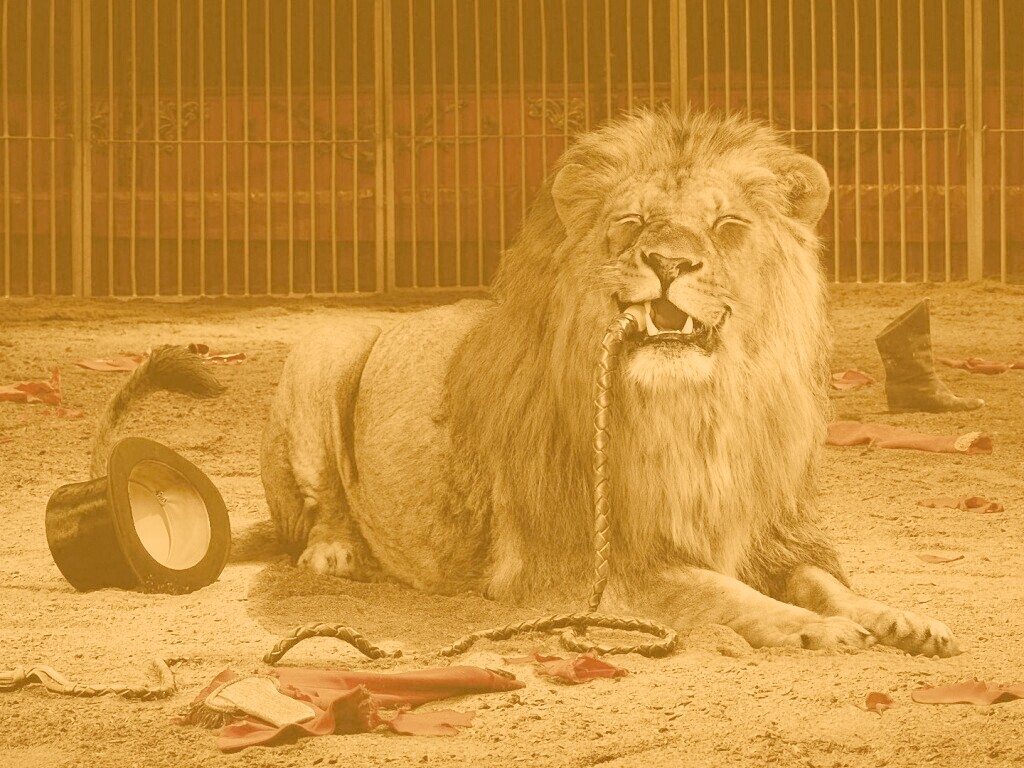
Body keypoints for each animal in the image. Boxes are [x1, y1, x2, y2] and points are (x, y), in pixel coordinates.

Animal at [255, 110, 957, 656]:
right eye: (632, 222)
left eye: (727, 225)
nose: (668, 261)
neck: (697, 412)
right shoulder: (580, 565)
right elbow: (722, 593)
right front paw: (815, 629)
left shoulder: (770, 531)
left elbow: (827, 583)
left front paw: (902, 618)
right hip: (325, 348)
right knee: (323, 501)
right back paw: (334, 554)